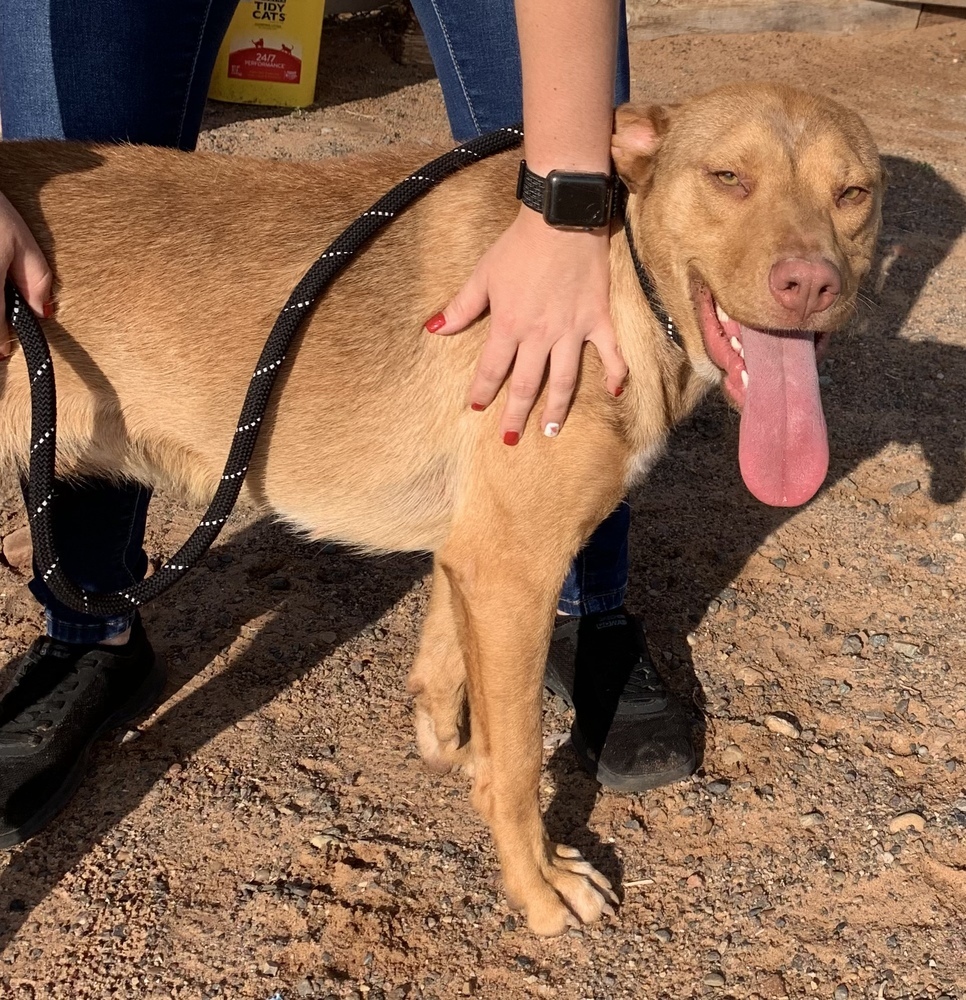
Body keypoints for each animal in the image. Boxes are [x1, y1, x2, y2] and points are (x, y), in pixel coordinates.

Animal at [0, 82, 880, 932]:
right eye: (727, 177)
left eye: (854, 193)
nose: (810, 285)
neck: (611, 285)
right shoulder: (515, 572)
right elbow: (517, 762)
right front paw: (539, 886)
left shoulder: (478, 558)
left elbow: (447, 673)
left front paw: (451, 754)